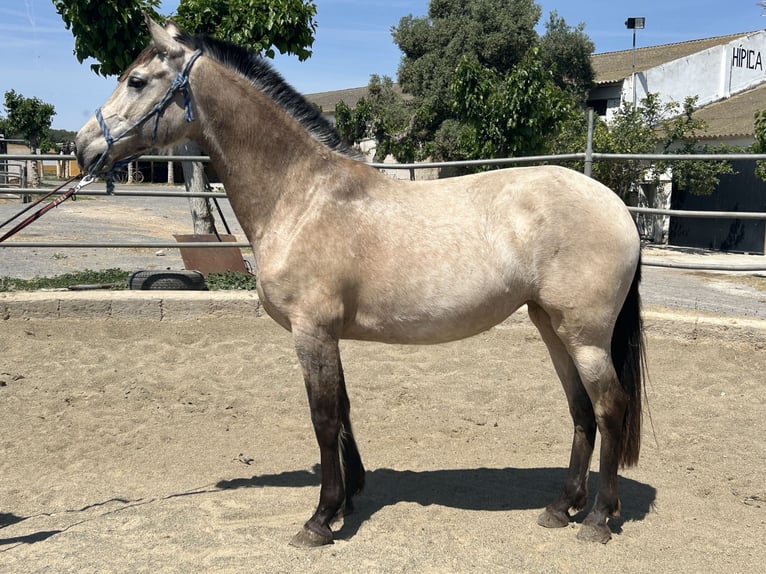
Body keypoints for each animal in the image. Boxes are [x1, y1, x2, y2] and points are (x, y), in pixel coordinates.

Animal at [73, 18, 648, 548]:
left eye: (137, 80)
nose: (83, 148)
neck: (301, 195)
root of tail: (616, 206)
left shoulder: (311, 331)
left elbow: (324, 418)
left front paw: (319, 519)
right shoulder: (328, 334)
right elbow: (343, 412)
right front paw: (347, 499)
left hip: (584, 335)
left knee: (610, 409)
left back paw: (598, 519)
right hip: (551, 326)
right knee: (581, 411)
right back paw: (562, 506)